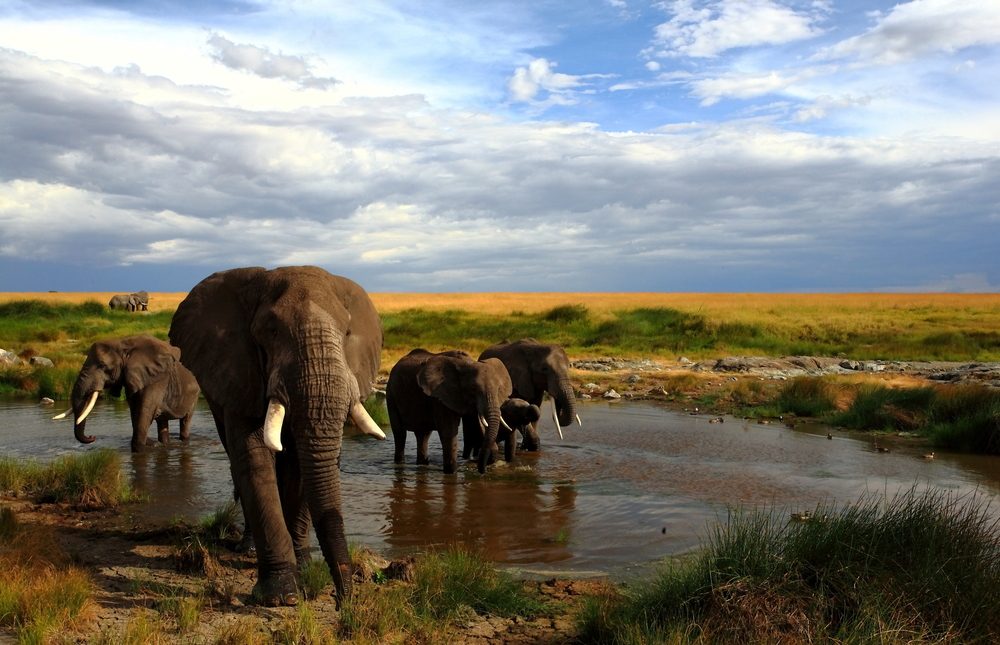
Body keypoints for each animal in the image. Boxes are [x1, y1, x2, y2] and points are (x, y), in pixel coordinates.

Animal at [53, 334, 201, 450]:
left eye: (102, 366)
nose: (92, 436)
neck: (122, 344)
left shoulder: (157, 379)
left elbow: (144, 413)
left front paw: (145, 445)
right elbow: (135, 412)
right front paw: (152, 444)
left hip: (194, 396)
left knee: (185, 422)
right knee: (162, 423)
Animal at [166, 264, 384, 608]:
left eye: (347, 332)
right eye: (271, 331)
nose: (342, 602)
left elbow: (304, 467)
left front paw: (304, 570)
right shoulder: (240, 371)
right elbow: (254, 458)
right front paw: (281, 597)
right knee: (238, 464)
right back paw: (248, 550)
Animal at [388, 348, 516, 472]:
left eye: (499, 390)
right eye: (473, 389)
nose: (482, 471)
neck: (467, 363)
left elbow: (476, 427)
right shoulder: (440, 397)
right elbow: (449, 431)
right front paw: (451, 472)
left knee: (423, 435)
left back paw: (422, 464)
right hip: (391, 395)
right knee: (400, 435)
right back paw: (399, 464)